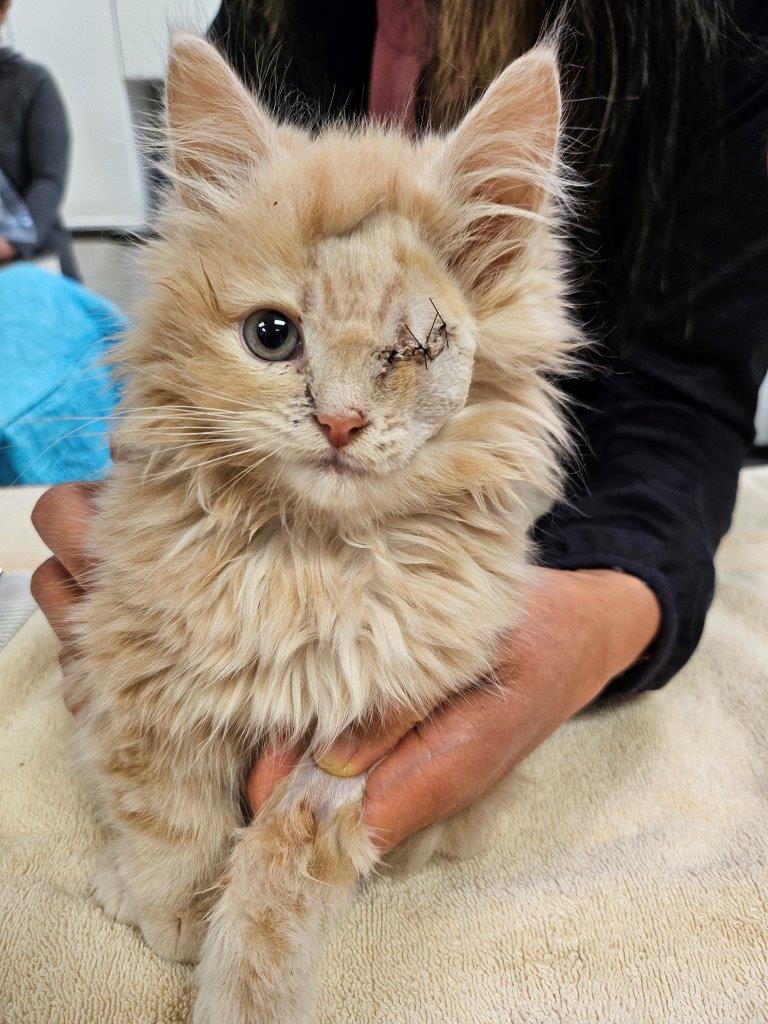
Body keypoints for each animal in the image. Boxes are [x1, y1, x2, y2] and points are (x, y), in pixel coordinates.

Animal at [69, 34, 577, 1024]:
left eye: (410, 353)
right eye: (273, 335)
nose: (339, 422)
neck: (309, 563)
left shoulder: (360, 741)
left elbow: (276, 869)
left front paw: (237, 986)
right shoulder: (137, 661)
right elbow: (165, 804)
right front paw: (162, 907)